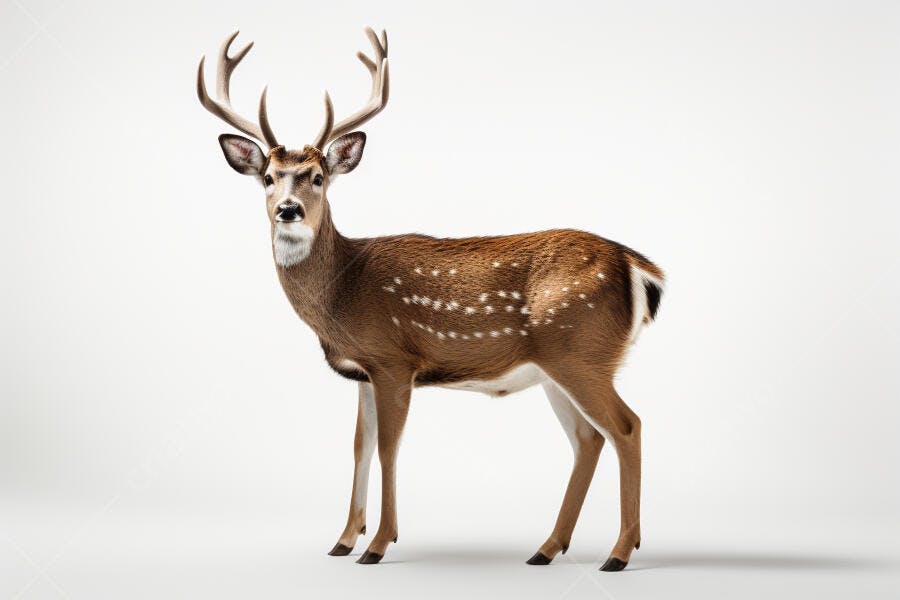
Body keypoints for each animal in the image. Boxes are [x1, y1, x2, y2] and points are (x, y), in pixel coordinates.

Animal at [196, 27, 665, 572]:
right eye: (268, 177)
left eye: (317, 176)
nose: (288, 210)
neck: (341, 293)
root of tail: (637, 266)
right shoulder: (362, 372)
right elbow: (359, 447)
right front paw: (343, 540)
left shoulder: (393, 359)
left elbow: (388, 449)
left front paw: (378, 545)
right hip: (556, 366)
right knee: (588, 440)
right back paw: (547, 548)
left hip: (582, 351)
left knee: (627, 427)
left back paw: (618, 553)